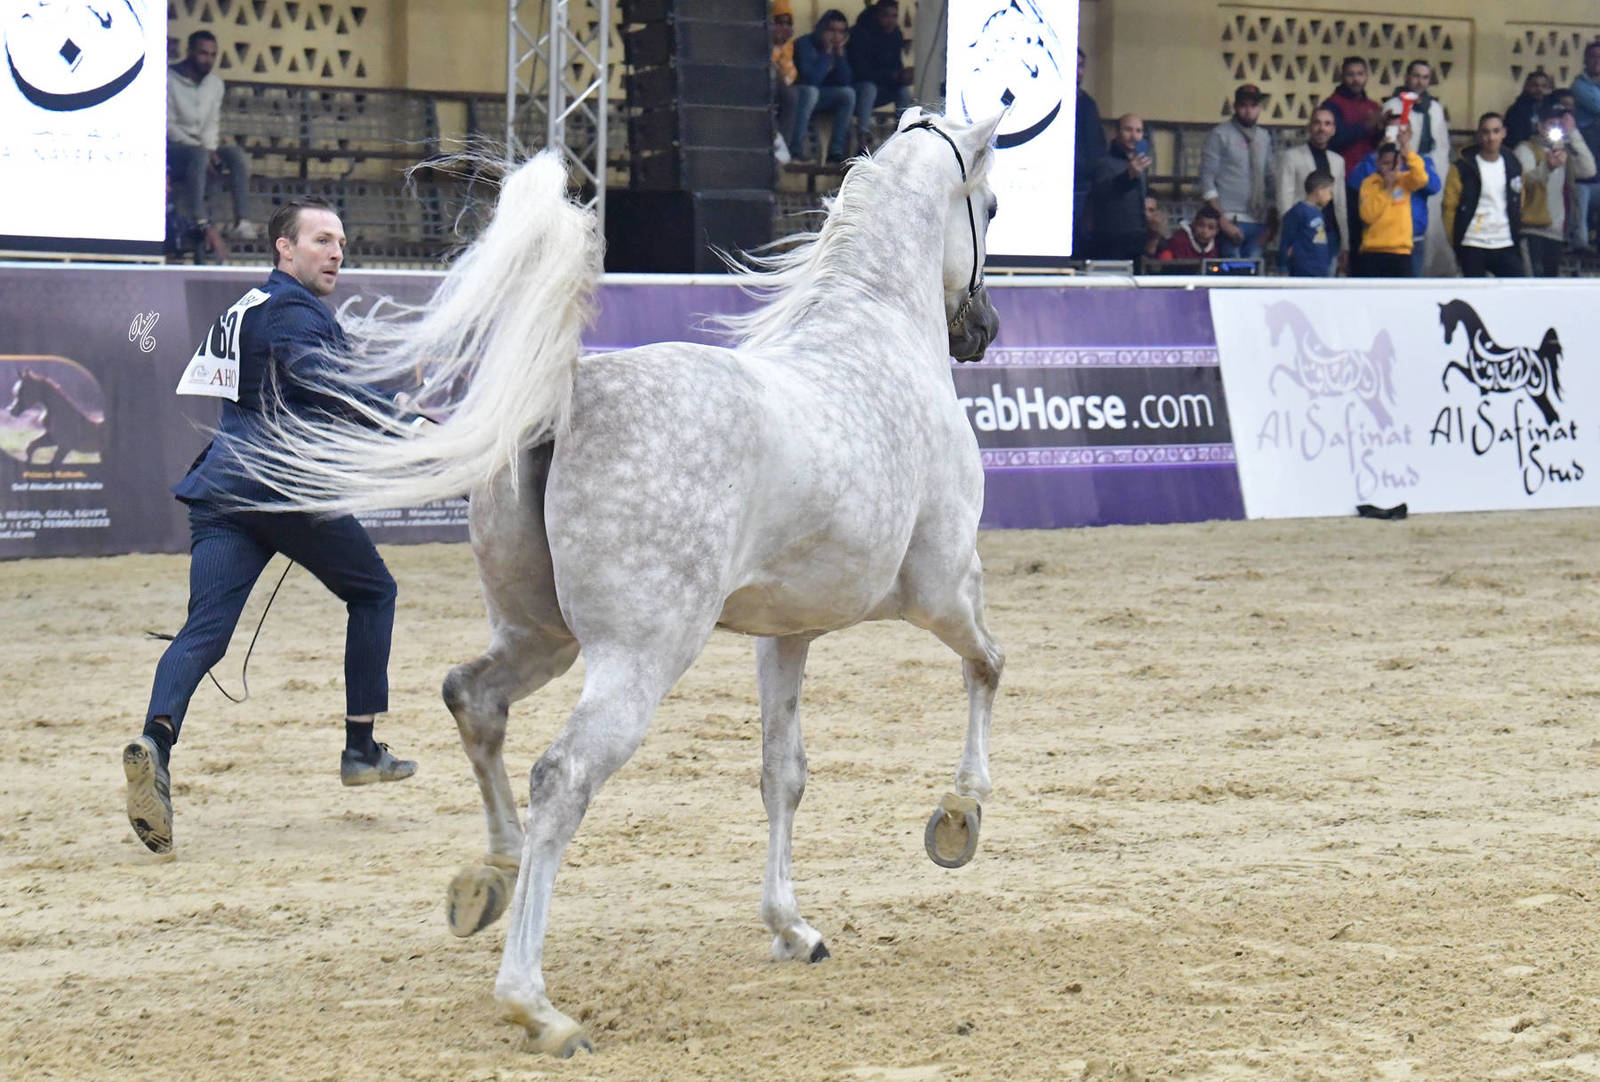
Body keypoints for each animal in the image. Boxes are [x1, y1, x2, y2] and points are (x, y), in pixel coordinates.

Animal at [231, 108, 1006, 1055]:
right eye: (991, 207)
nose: (983, 329)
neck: (876, 335)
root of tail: (568, 393)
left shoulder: (787, 636)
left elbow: (782, 774)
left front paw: (792, 928)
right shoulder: (942, 589)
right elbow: (986, 666)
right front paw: (957, 821)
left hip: (542, 639)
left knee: (471, 699)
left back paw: (491, 878)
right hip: (638, 659)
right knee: (562, 775)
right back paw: (536, 1005)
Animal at [1264, 301, 1398, 428]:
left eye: (1273, 321)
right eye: (1268, 322)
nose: (1273, 342)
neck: (1309, 346)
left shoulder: (1306, 382)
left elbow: (1279, 368)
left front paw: (1273, 389)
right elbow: (1279, 368)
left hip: (1369, 396)